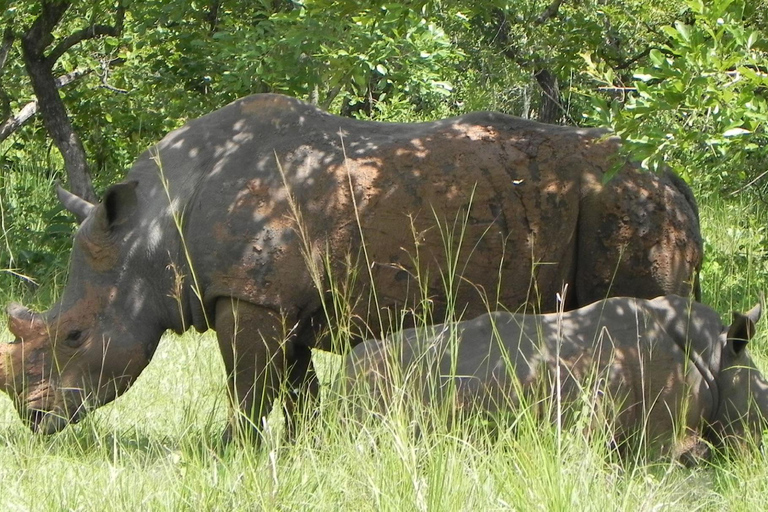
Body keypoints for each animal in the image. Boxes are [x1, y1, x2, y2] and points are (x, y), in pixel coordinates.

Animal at [0, 94, 702, 438]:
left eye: (74, 336)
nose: (35, 422)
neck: (149, 233)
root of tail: (674, 178)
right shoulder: (278, 298)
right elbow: (294, 387)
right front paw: (305, 450)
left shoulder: (249, 296)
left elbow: (249, 387)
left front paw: (231, 453)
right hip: (623, 200)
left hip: (630, 202)